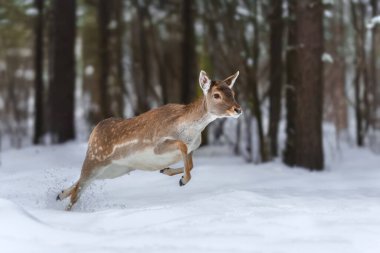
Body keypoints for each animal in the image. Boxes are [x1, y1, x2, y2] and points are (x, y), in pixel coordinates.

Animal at [56, 70, 240, 211]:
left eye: (232, 93)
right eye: (216, 95)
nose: (237, 109)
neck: (189, 131)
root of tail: (94, 132)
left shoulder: (193, 148)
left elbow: (191, 164)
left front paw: (167, 171)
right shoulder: (157, 144)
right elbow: (181, 146)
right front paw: (182, 180)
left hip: (115, 170)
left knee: (80, 184)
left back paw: (59, 194)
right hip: (94, 159)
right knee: (77, 191)